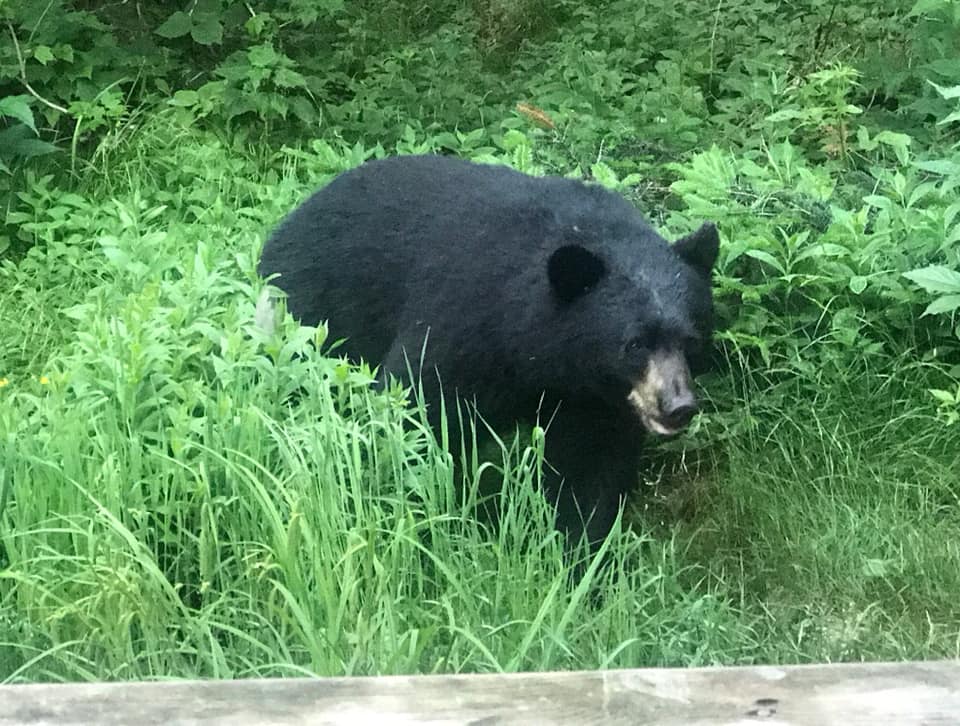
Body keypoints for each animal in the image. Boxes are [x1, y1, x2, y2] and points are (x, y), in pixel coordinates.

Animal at [258, 156, 716, 548]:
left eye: (690, 340)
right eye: (635, 343)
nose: (677, 405)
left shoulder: (594, 400)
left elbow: (590, 469)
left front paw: (578, 556)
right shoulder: (466, 320)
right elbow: (418, 413)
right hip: (307, 318)